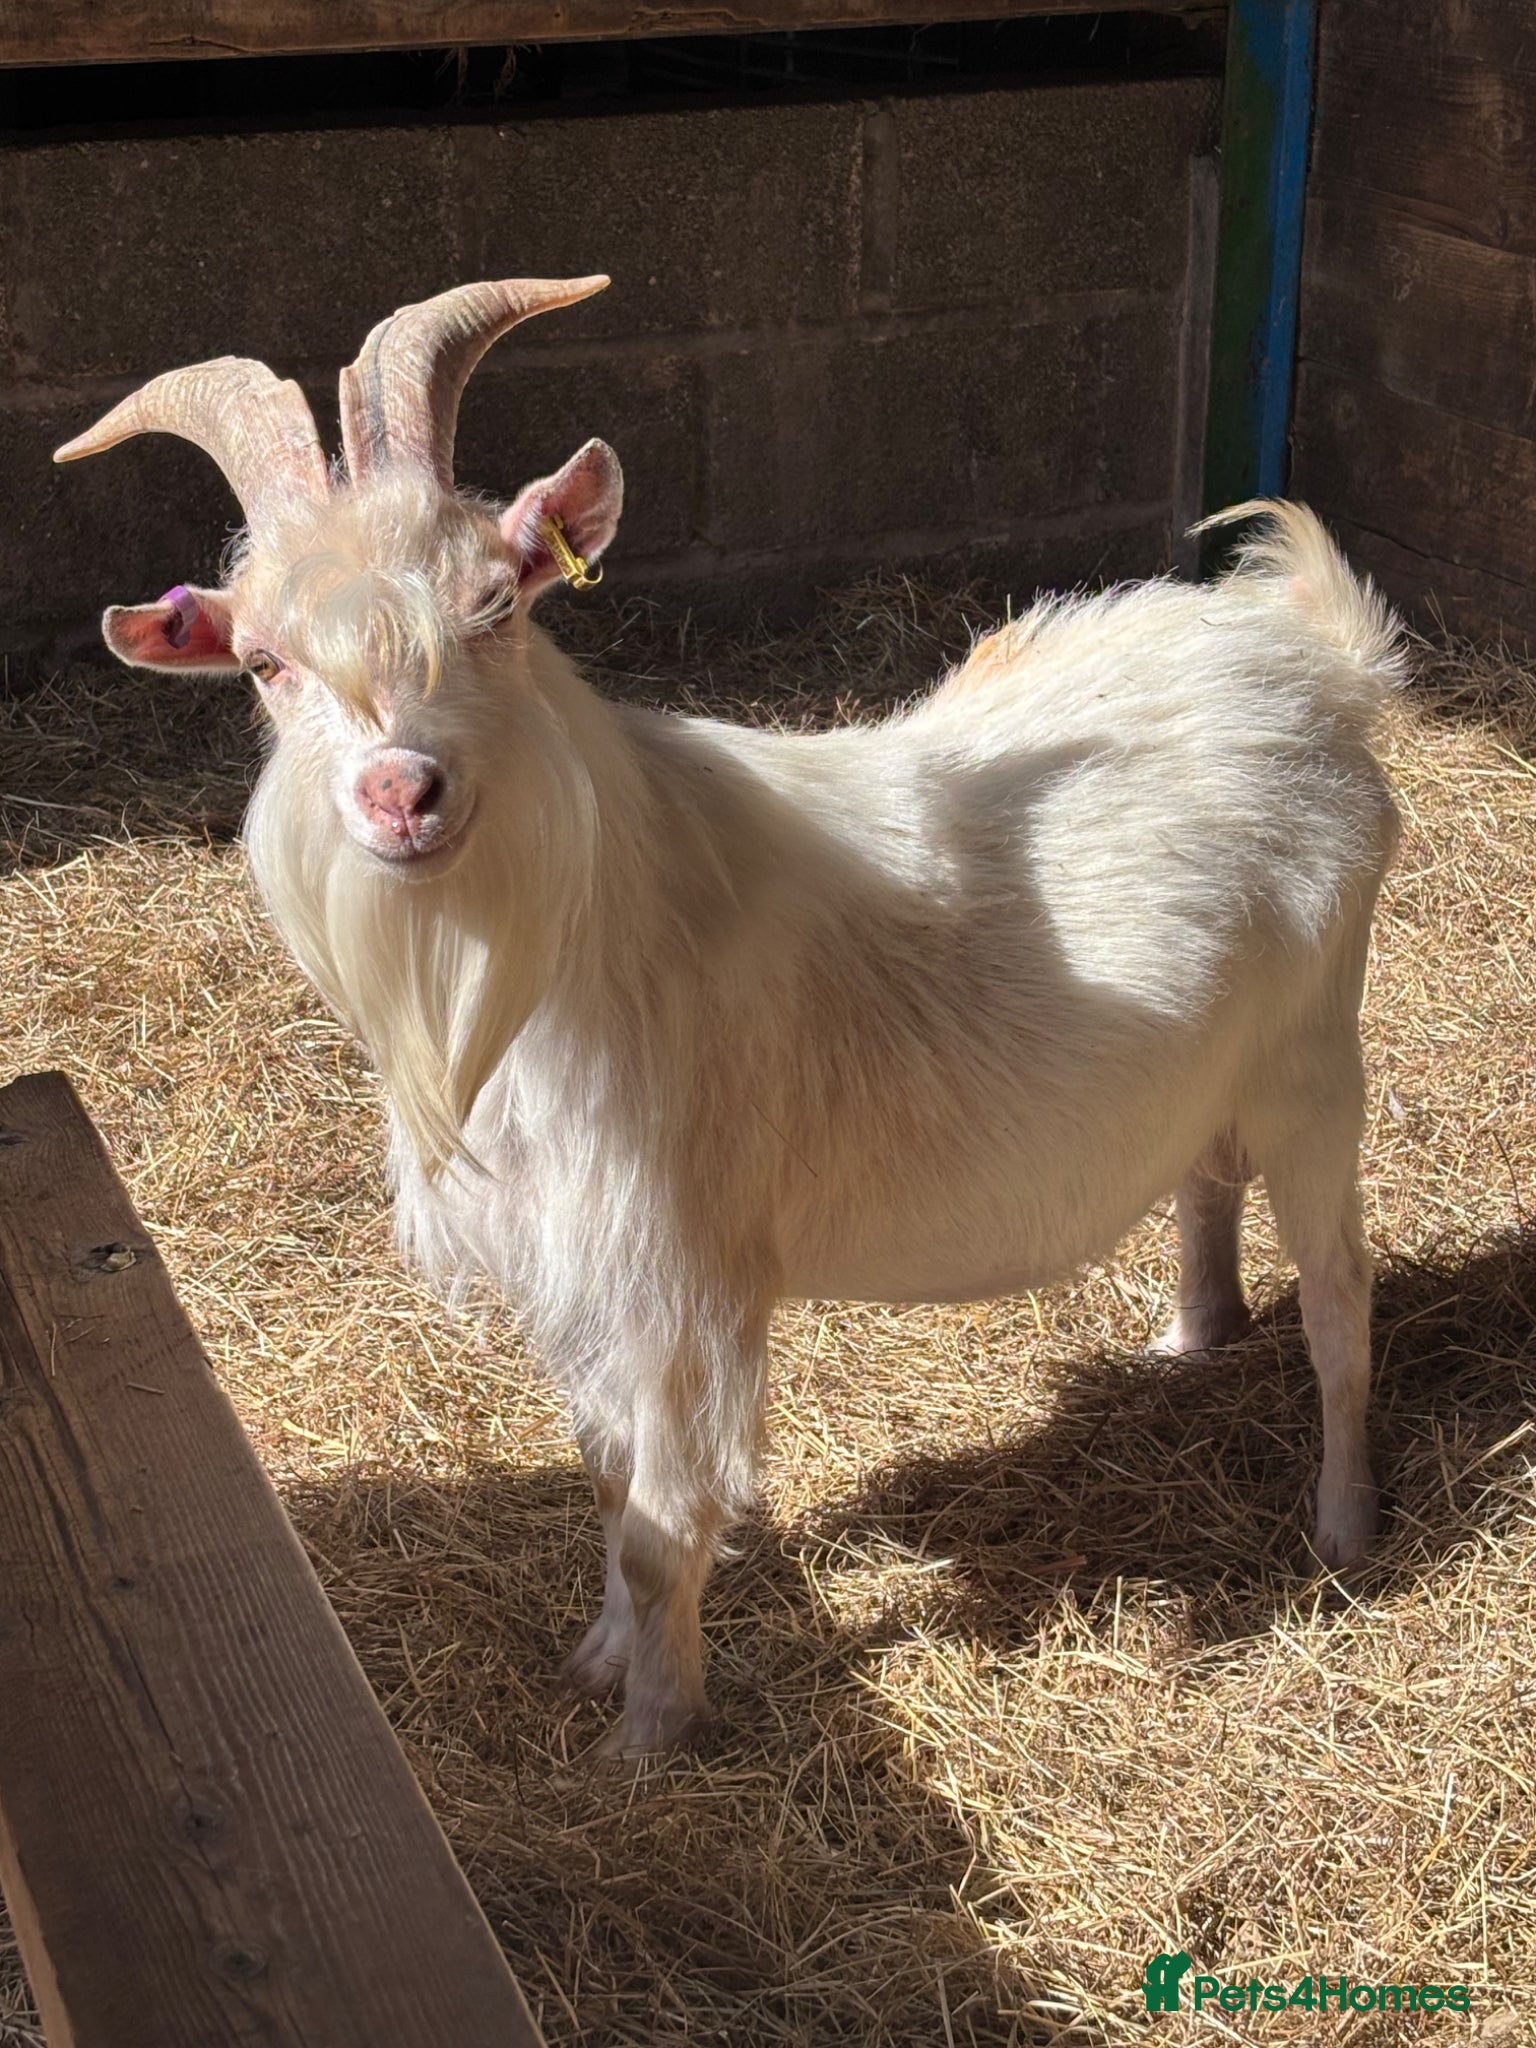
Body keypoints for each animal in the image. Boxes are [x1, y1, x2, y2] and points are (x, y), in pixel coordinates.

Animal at [58, 276, 1404, 1757]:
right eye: (260, 659)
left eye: (495, 605)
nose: (402, 793)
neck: (573, 944)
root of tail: (1314, 659)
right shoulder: (572, 1265)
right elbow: (604, 1483)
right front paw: (598, 1659)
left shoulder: (677, 1268)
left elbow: (662, 1522)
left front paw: (650, 1732)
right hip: (1225, 1067)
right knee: (1207, 1179)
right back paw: (1194, 1333)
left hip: (1316, 1062)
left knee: (1342, 1297)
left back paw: (1344, 1526)